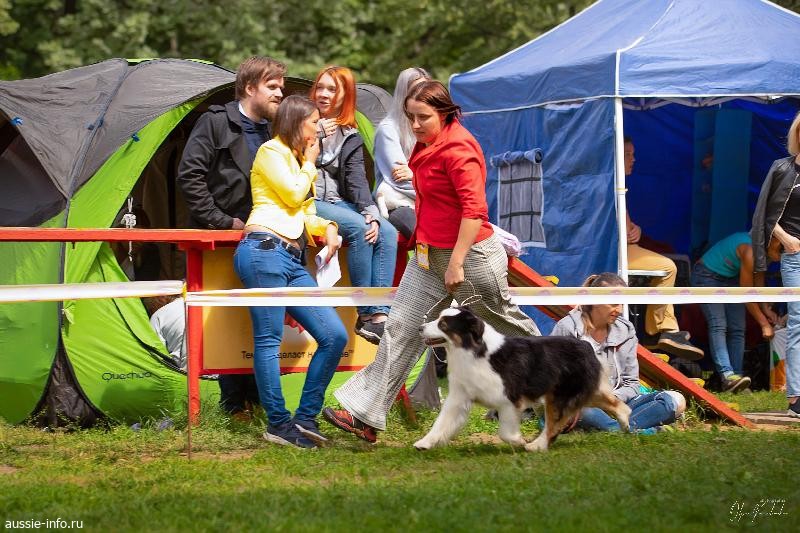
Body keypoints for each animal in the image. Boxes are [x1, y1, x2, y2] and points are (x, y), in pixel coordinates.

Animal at [415, 306, 631, 452]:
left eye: (443, 324)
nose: (420, 327)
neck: (474, 350)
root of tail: (586, 345)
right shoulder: (459, 397)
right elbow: (442, 422)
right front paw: (424, 443)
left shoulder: (509, 399)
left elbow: (505, 432)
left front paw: (519, 441)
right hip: (580, 391)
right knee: (615, 403)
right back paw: (625, 423)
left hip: (560, 395)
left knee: (554, 425)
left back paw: (535, 446)